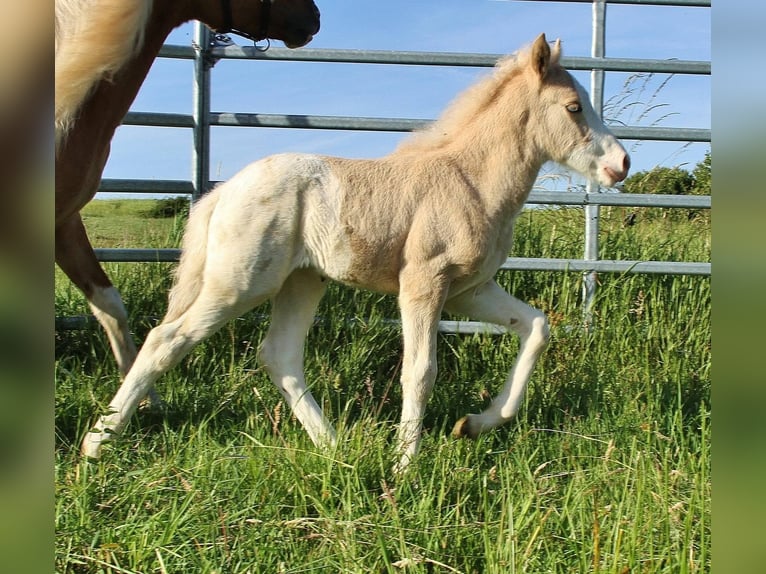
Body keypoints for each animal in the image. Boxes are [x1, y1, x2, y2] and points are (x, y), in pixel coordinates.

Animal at [81, 34, 630, 473]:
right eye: (574, 107)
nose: (622, 164)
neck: (468, 181)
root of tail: (221, 193)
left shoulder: (469, 290)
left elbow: (536, 327)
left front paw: (475, 423)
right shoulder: (423, 284)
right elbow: (420, 371)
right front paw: (406, 466)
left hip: (301, 281)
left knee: (279, 355)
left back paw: (334, 447)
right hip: (239, 283)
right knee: (166, 339)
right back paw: (96, 443)